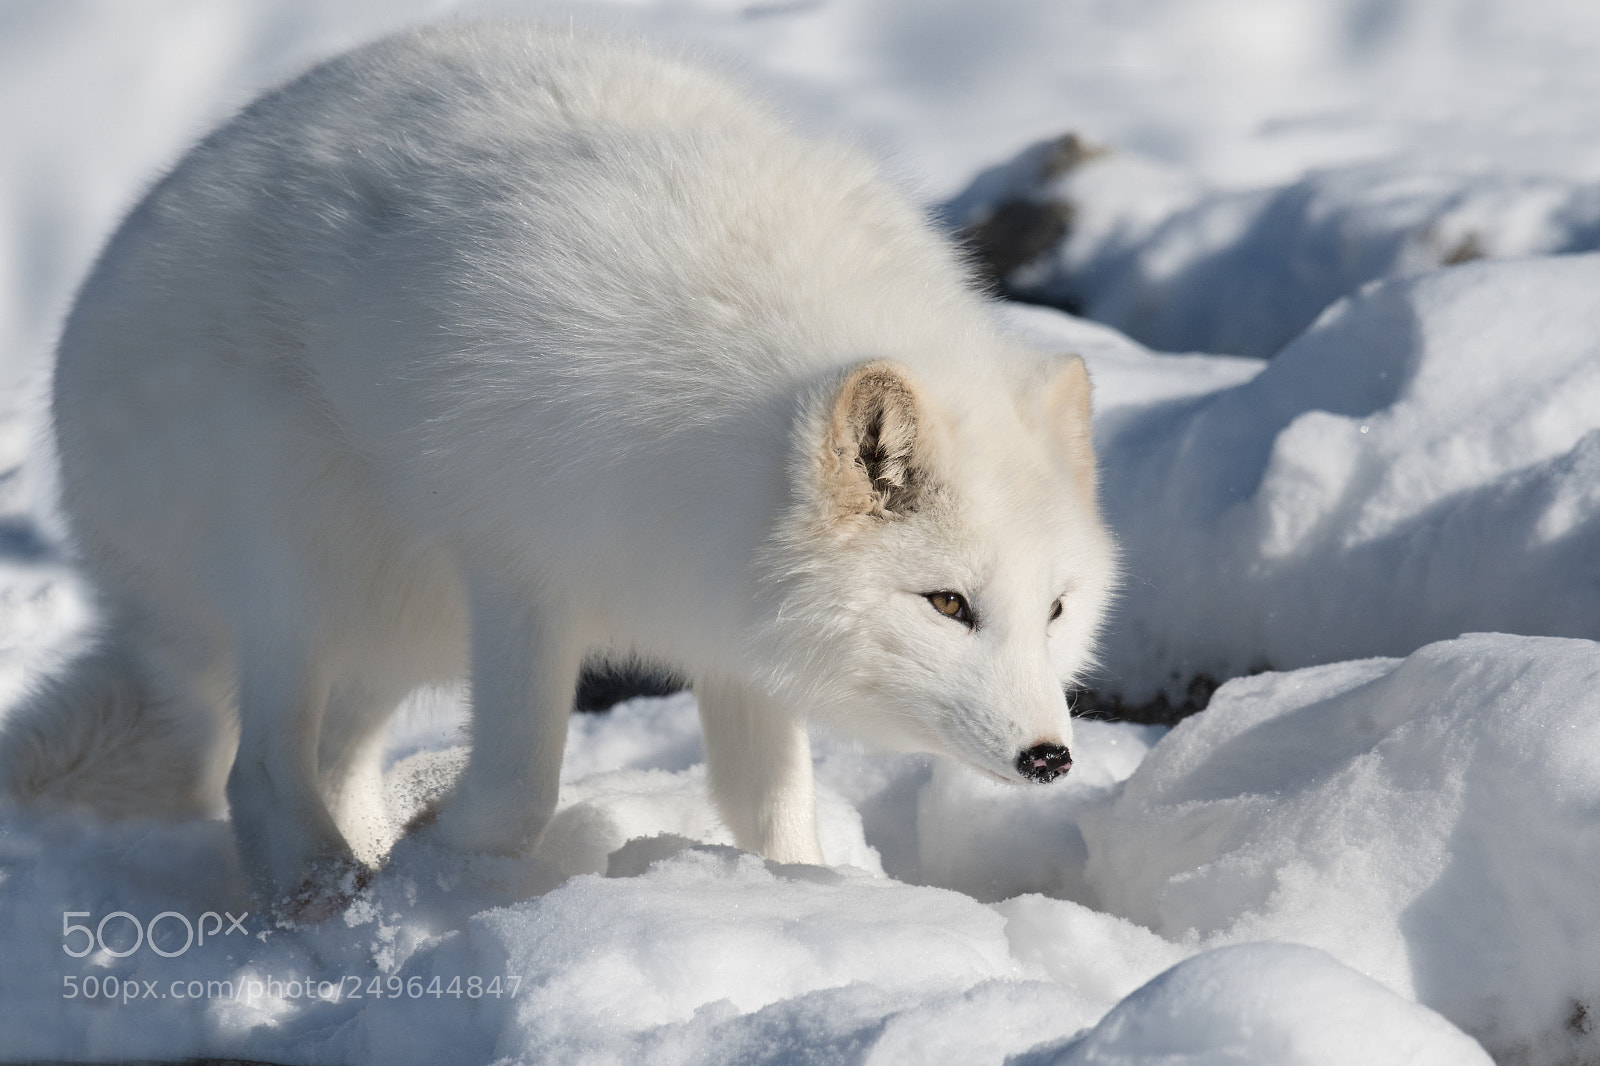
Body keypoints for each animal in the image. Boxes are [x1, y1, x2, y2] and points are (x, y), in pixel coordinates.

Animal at [0, 22, 1115, 913]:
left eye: (1056, 609)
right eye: (947, 603)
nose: (1050, 757)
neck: (719, 414)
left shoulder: (722, 616)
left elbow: (770, 808)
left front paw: (804, 890)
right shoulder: (519, 573)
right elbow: (518, 790)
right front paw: (446, 860)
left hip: (400, 628)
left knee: (331, 759)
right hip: (307, 561)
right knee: (260, 772)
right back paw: (323, 896)